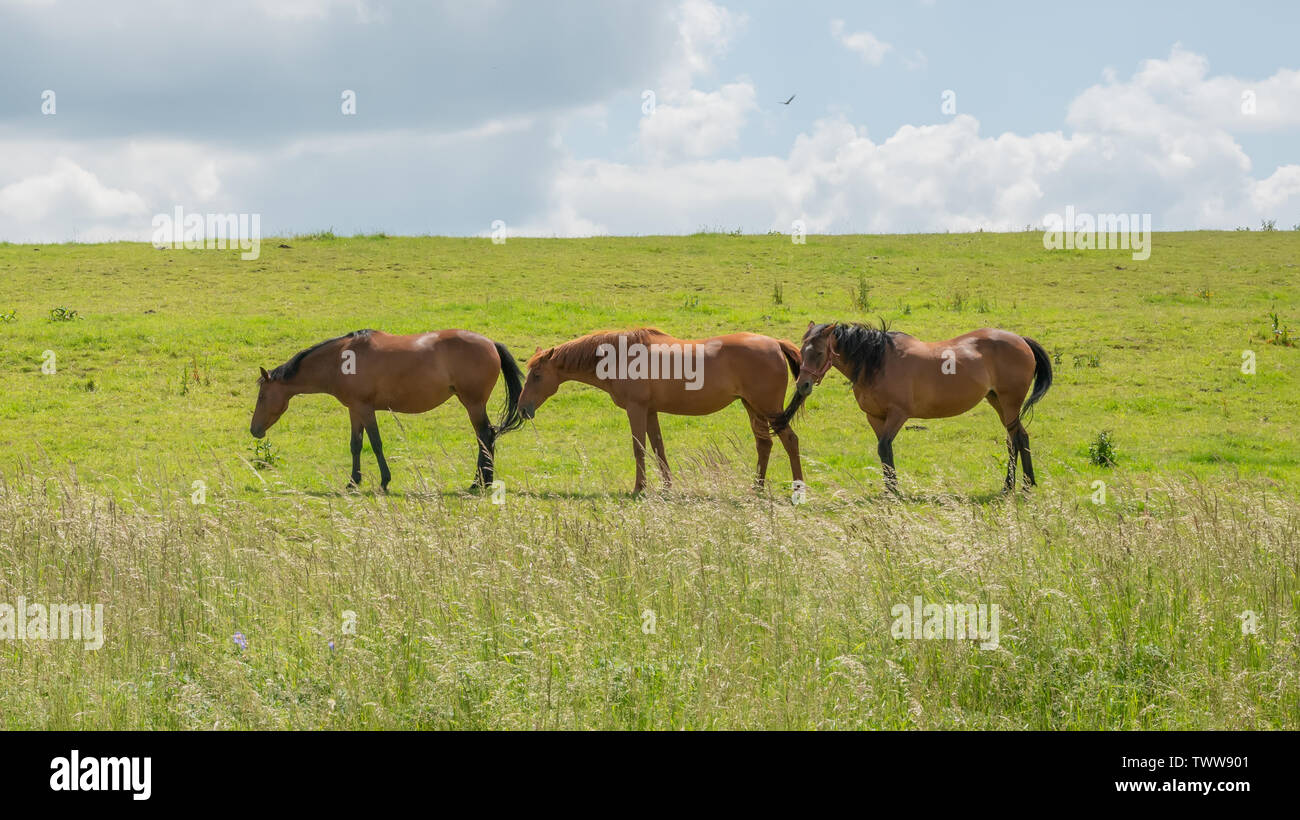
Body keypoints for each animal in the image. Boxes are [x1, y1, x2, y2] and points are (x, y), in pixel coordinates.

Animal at [249, 329, 525, 491]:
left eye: (262, 396)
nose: (254, 430)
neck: (340, 360)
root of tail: (491, 343)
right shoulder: (354, 410)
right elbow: (356, 445)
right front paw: (353, 482)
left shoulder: (365, 409)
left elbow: (376, 443)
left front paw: (384, 481)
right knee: (486, 437)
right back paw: (483, 481)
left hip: (473, 404)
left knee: (485, 436)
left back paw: (479, 483)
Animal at [518, 328, 804, 494]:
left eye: (537, 375)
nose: (522, 409)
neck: (621, 355)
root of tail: (775, 343)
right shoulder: (650, 412)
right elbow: (658, 448)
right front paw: (667, 487)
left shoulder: (636, 409)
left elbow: (639, 448)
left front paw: (639, 488)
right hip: (753, 408)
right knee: (764, 444)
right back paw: (756, 487)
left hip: (768, 409)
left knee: (790, 440)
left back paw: (797, 489)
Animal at [775, 321, 1052, 494]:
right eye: (801, 351)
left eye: (819, 353)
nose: (803, 385)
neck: (878, 362)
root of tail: (1021, 340)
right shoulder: (874, 417)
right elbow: (883, 452)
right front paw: (889, 488)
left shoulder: (898, 415)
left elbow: (884, 447)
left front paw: (894, 491)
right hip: (998, 401)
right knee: (1016, 438)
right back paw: (1016, 484)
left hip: (1009, 402)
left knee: (1017, 439)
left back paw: (1021, 485)